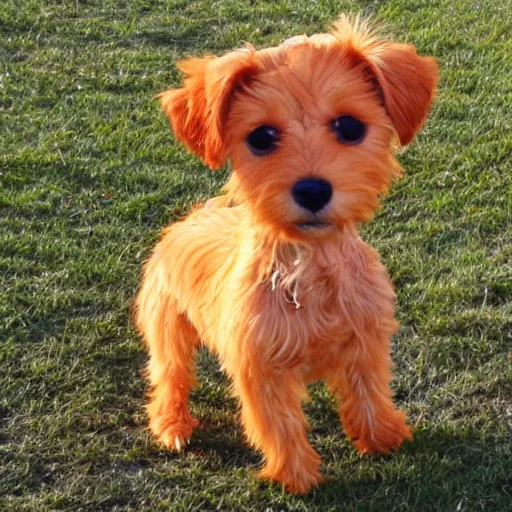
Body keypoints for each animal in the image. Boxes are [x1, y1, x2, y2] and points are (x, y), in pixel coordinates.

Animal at [134, 15, 438, 496]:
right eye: (262, 137)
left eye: (350, 127)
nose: (312, 190)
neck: (309, 273)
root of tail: (192, 217)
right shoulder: (262, 370)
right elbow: (279, 425)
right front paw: (297, 477)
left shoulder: (365, 344)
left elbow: (370, 394)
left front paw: (384, 437)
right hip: (167, 328)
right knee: (170, 376)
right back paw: (172, 425)